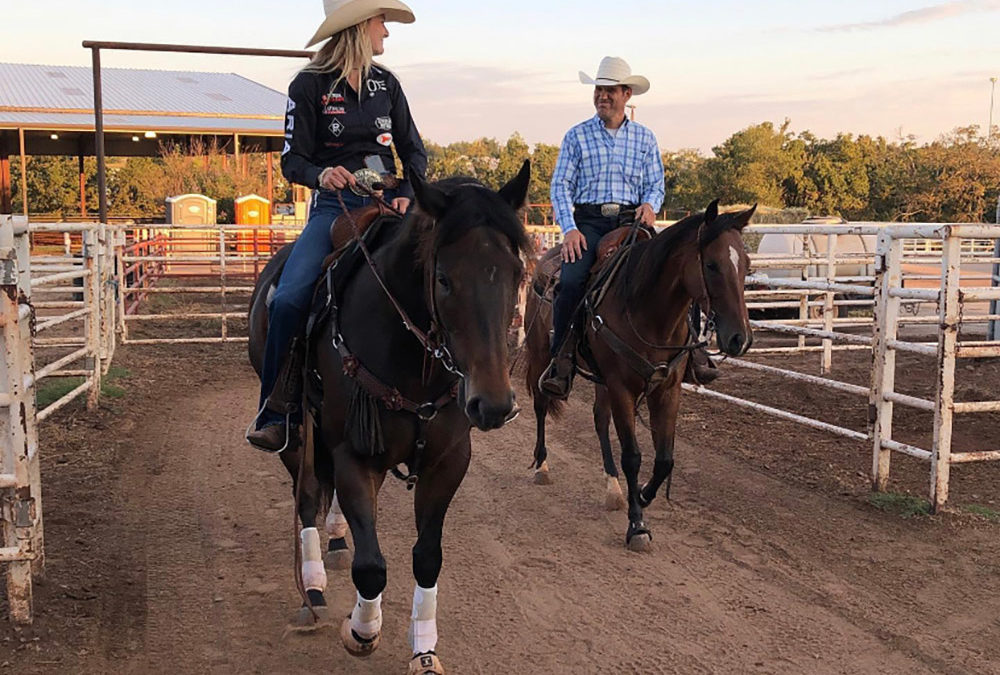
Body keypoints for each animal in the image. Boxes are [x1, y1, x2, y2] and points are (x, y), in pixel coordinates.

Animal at [248, 162, 532, 672]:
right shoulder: (355, 457)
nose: (494, 404)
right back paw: (313, 586)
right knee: (306, 498)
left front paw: (424, 649)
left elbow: (427, 557)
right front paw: (361, 630)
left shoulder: (448, 462)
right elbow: (372, 566)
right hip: (296, 433)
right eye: (443, 279)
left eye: (517, 273)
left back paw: (337, 538)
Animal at [528, 203, 752, 552]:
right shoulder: (622, 388)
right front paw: (637, 526)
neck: (648, 310)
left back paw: (613, 488)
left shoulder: (667, 389)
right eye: (712, 265)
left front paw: (644, 495)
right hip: (541, 356)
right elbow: (632, 456)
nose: (739, 338)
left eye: (747, 265)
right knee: (541, 404)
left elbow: (665, 460)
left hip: (602, 381)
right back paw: (542, 466)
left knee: (600, 420)